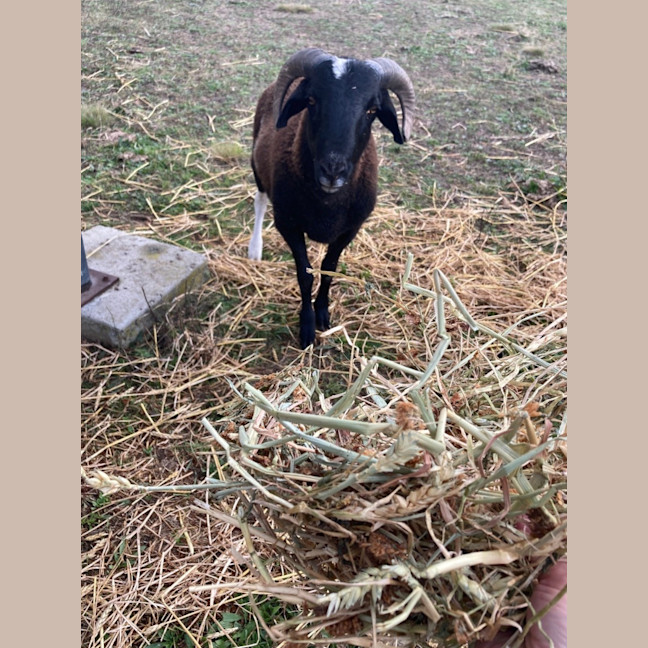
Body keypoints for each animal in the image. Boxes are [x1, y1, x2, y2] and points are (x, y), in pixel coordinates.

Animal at [248, 47, 415, 348]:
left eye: (372, 110)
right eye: (312, 100)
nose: (332, 170)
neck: (327, 205)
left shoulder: (350, 228)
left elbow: (329, 268)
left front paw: (323, 314)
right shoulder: (288, 224)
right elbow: (304, 274)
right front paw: (307, 327)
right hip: (257, 165)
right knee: (259, 201)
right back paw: (254, 249)